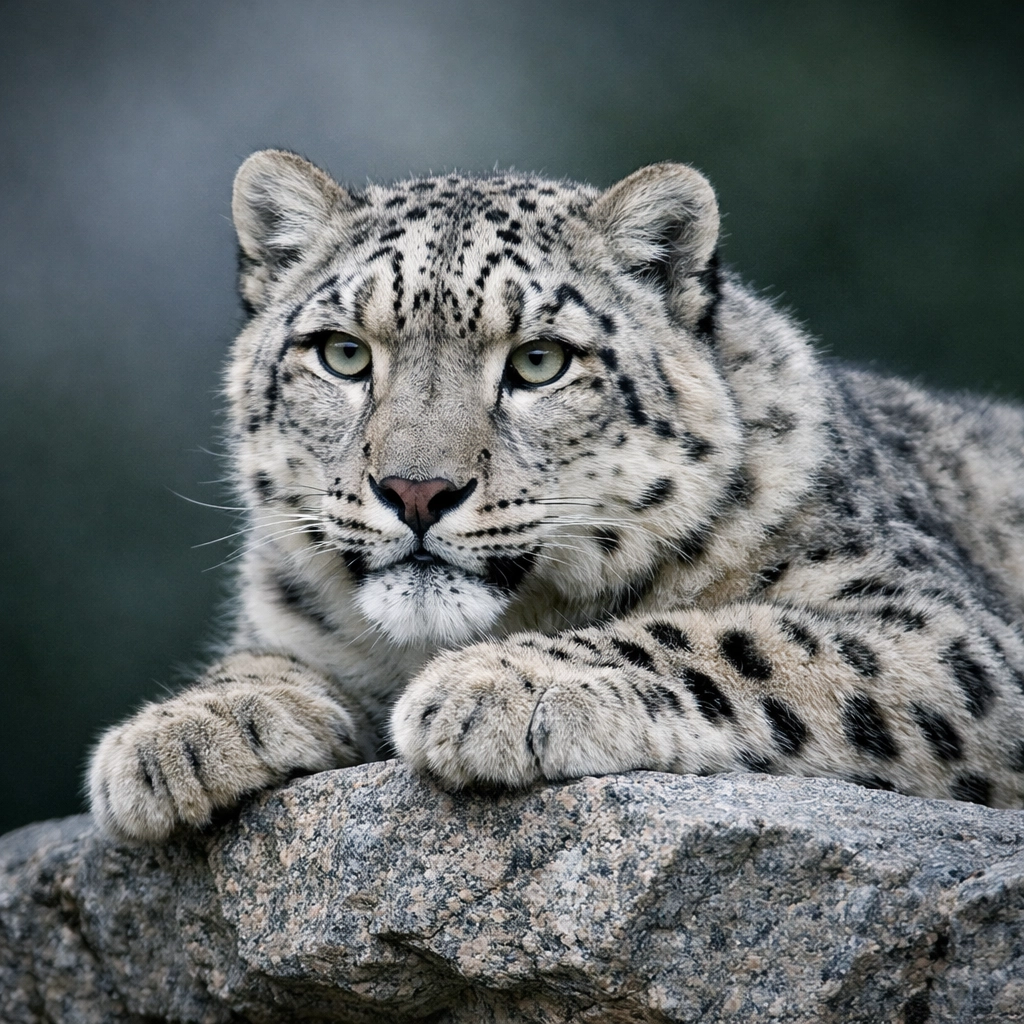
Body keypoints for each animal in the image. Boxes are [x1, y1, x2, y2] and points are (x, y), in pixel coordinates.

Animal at [88, 149, 1024, 843]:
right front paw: (183, 731)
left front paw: (505, 686)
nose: (416, 490)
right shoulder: (290, 620)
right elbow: (266, 653)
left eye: (539, 361)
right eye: (343, 353)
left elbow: (747, 638)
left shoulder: (940, 630)